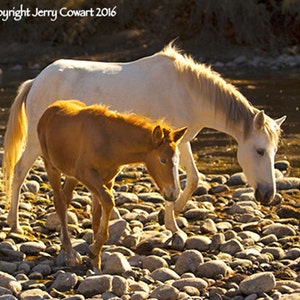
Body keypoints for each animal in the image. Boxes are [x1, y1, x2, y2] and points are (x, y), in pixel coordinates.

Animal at [3, 43, 284, 234]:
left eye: (274, 152)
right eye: (259, 151)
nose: (267, 195)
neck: (187, 91)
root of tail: (36, 80)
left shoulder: (182, 142)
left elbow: (193, 179)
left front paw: (174, 212)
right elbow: (175, 182)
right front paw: (172, 225)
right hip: (36, 142)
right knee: (19, 171)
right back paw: (14, 223)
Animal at [37, 100, 188, 270]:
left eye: (177, 159)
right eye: (163, 159)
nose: (173, 193)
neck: (110, 141)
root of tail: (50, 109)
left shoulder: (107, 179)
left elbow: (97, 214)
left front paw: (95, 258)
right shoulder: (86, 174)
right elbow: (108, 202)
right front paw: (94, 250)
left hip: (71, 175)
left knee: (66, 198)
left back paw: (65, 245)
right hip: (51, 167)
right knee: (60, 202)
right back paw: (69, 253)